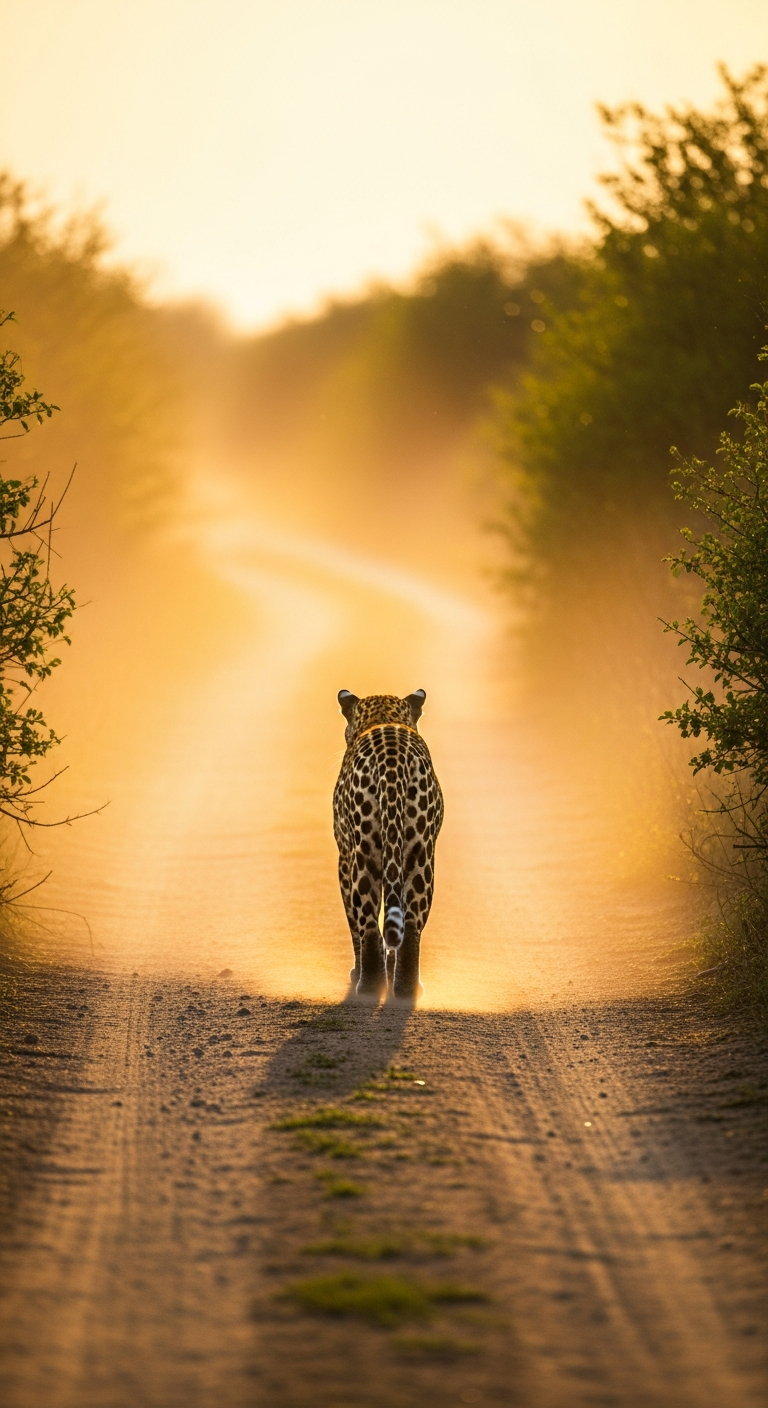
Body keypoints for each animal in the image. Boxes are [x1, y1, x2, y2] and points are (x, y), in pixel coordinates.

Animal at [333, 688, 444, 1002]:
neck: (383, 717)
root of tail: (390, 759)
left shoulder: (343, 858)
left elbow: (353, 923)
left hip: (363, 855)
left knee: (369, 923)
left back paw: (368, 986)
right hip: (420, 855)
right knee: (411, 925)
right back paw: (406, 989)